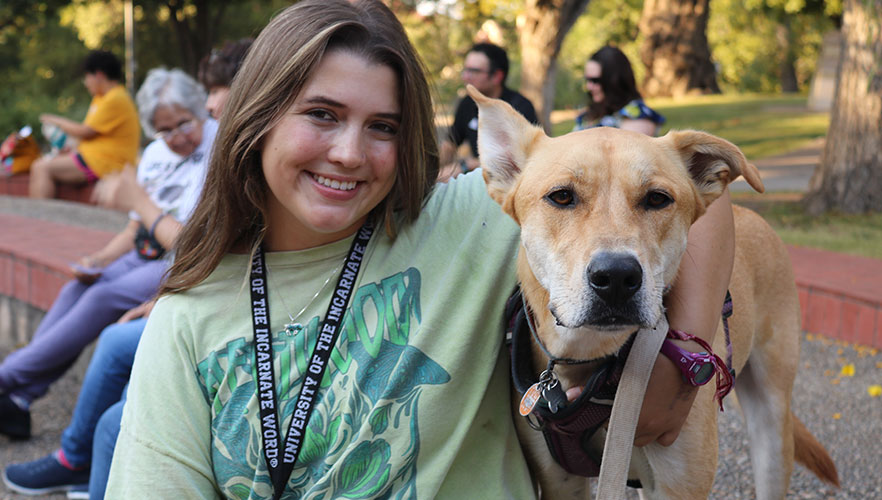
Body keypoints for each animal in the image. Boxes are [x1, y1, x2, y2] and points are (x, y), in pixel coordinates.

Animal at [468, 88, 832, 498]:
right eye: (561, 197)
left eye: (657, 199)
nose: (616, 277)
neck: (592, 360)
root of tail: (751, 215)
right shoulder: (561, 481)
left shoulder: (679, 484)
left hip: (771, 422)